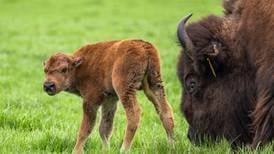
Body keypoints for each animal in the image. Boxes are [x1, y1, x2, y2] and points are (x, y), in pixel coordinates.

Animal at [44, 39, 174, 153]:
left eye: (64, 69)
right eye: (45, 70)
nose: (48, 85)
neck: (80, 66)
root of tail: (143, 46)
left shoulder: (90, 101)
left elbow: (86, 129)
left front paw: (76, 151)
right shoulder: (109, 100)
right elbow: (104, 128)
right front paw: (106, 150)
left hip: (125, 89)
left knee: (134, 113)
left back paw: (124, 149)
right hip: (154, 84)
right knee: (165, 111)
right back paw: (171, 146)